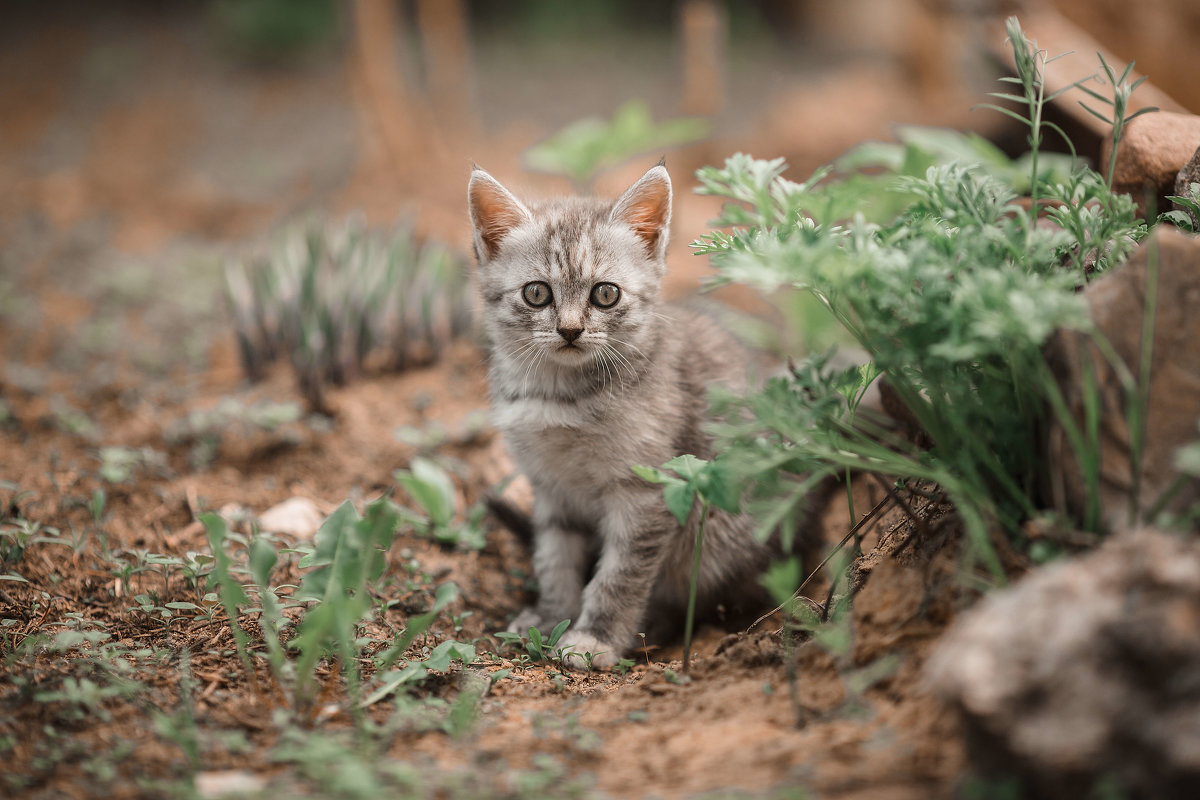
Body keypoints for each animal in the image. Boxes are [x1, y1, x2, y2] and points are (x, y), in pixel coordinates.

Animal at [472, 163, 782, 671]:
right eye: (536, 293)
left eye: (605, 294)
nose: (570, 330)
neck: (560, 394)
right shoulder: (551, 488)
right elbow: (554, 559)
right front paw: (552, 616)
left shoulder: (647, 490)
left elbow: (620, 575)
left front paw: (594, 637)